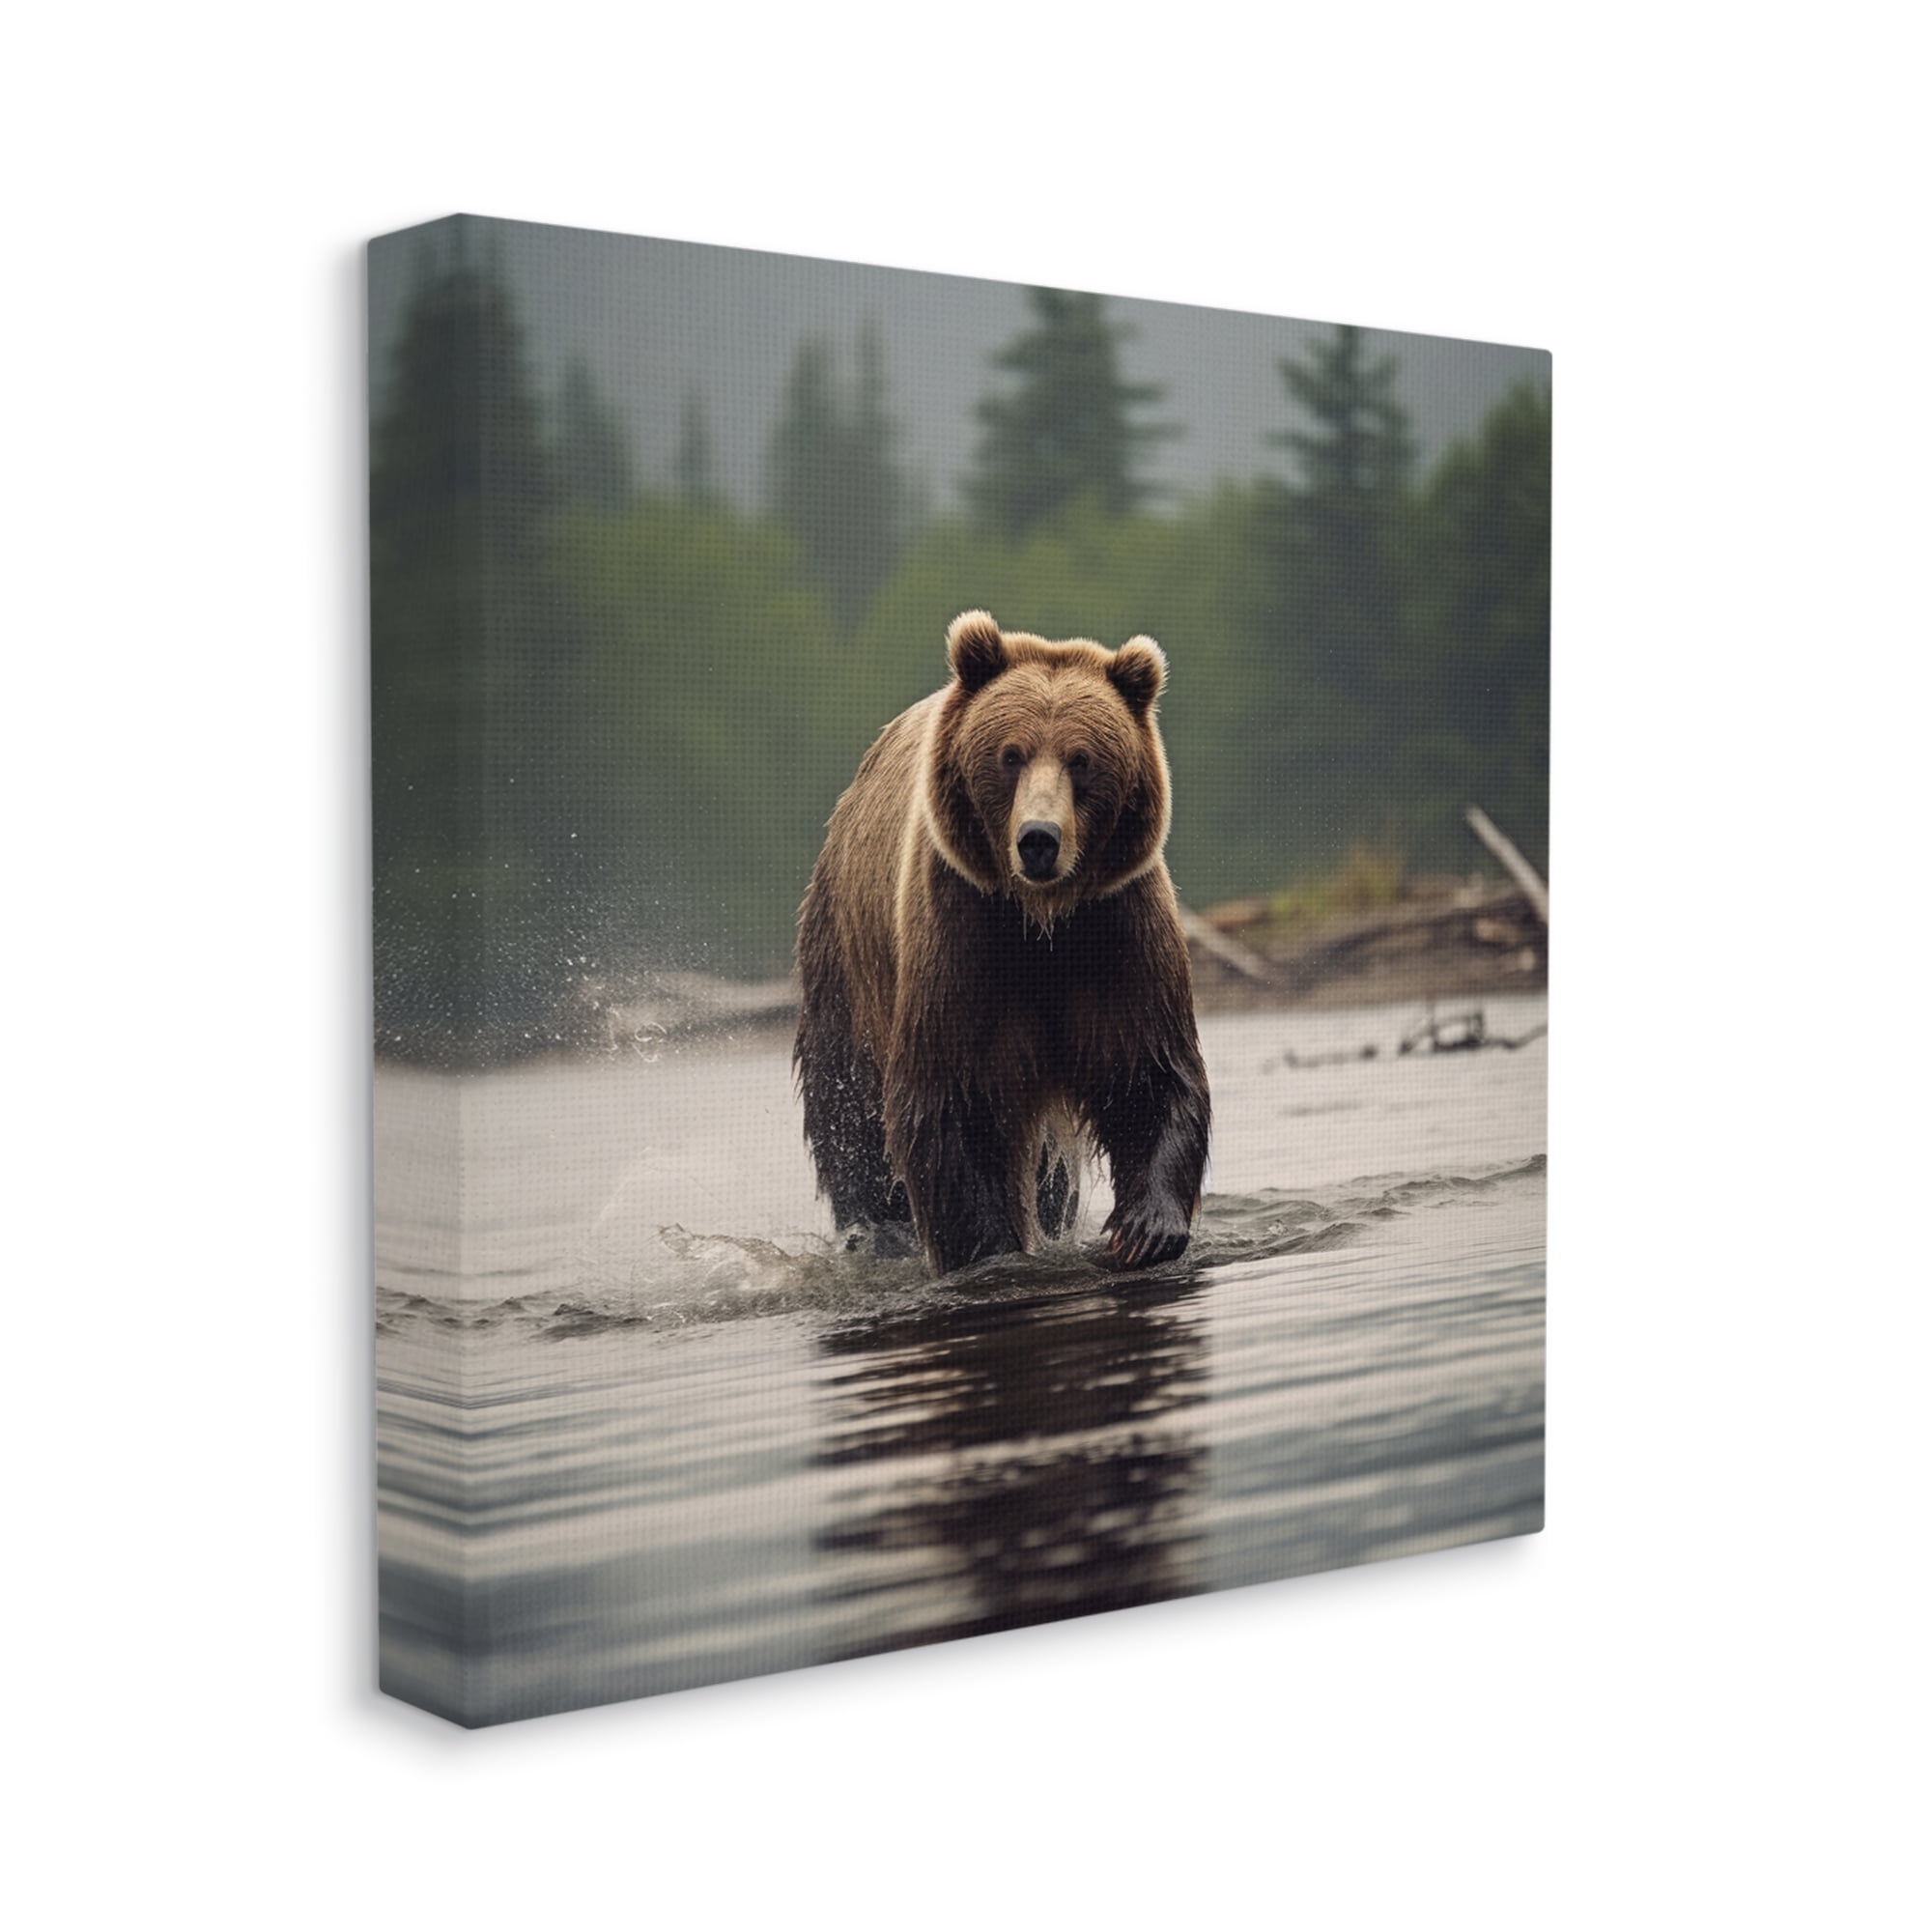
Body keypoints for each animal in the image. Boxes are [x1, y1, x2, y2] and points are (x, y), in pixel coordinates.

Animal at [795, 609, 1211, 1277]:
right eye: (1010, 754)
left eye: (1082, 760)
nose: (1038, 838)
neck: (1040, 921)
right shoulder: (964, 933)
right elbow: (950, 1105)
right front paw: (990, 1250)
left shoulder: (1117, 928)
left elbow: (1148, 1075)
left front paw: (1144, 1229)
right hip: (846, 962)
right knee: (849, 1113)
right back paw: (878, 1229)